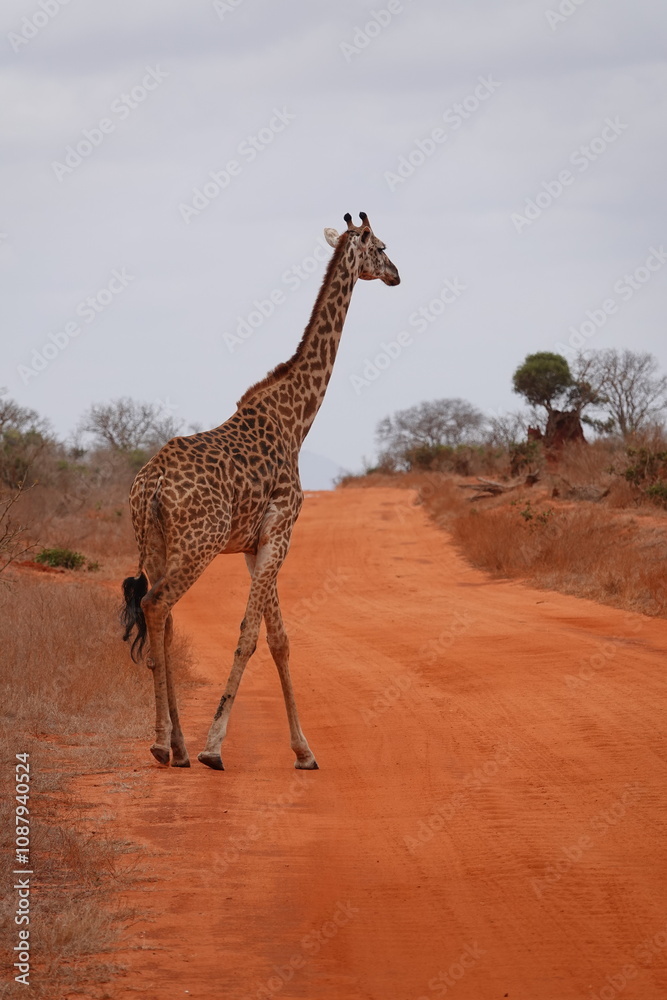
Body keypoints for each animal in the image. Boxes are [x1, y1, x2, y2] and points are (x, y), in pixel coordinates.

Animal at [121, 212, 400, 770]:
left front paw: (304, 751)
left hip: (155, 541)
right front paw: (215, 747)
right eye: (380, 246)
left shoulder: (255, 545)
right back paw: (168, 745)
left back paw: (176, 745)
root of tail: (153, 484)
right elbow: (251, 635)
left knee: (162, 619)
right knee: (157, 607)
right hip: (198, 545)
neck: (297, 419)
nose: (398, 274)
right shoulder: (280, 532)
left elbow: (280, 638)